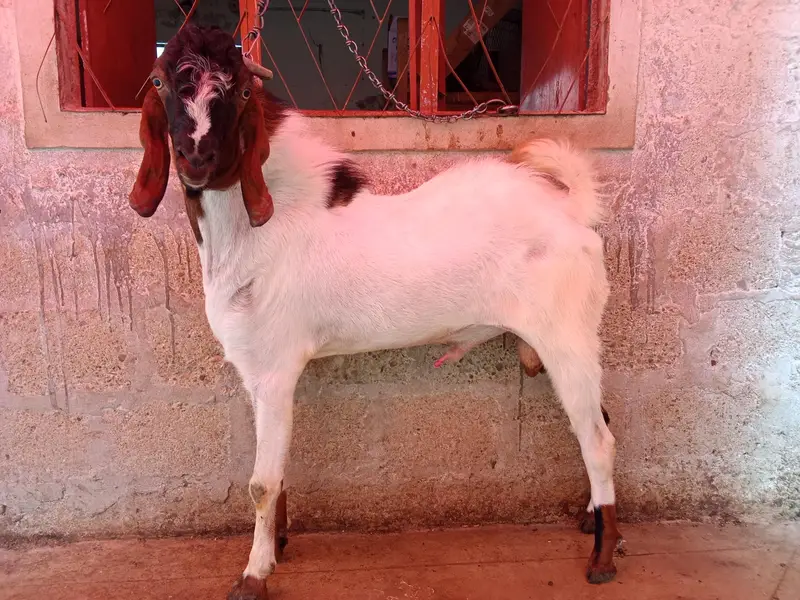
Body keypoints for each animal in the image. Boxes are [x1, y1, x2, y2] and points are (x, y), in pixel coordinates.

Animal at [129, 25, 621, 600]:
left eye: (242, 90)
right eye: (160, 82)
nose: (196, 158)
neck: (259, 229)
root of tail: (571, 211)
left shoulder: (275, 370)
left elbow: (260, 483)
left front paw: (254, 574)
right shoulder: (258, 375)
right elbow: (279, 471)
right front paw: (277, 547)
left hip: (566, 338)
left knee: (598, 440)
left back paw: (603, 558)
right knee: (600, 422)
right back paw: (591, 521)